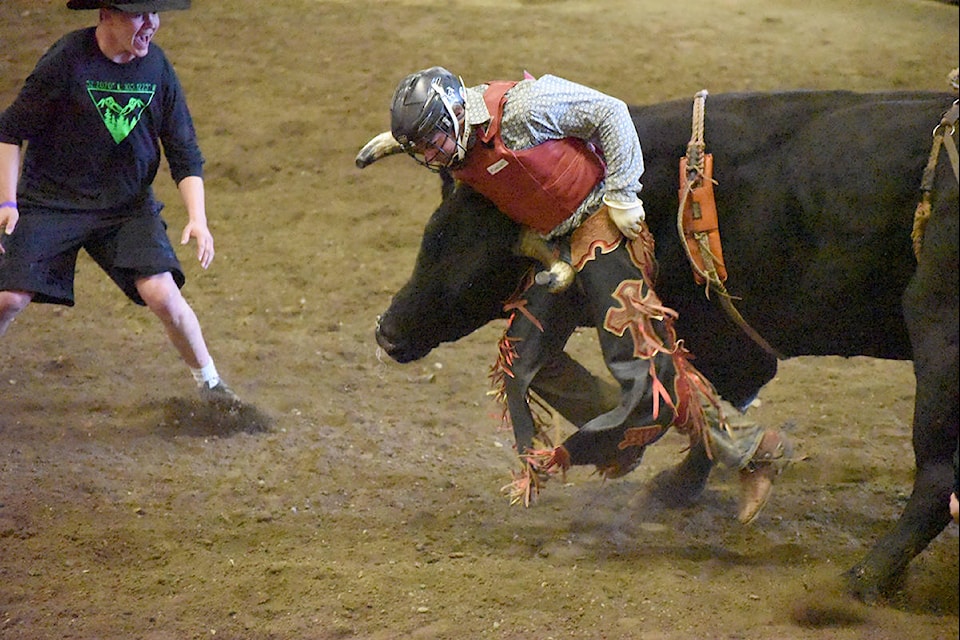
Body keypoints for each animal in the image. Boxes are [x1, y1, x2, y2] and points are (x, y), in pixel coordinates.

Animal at [366, 90, 952, 600]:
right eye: (429, 238)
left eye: (462, 252)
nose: (387, 332)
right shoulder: (734, 344)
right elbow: (707, 410)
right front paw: (677, 486)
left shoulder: (724, 338)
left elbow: (685, 402)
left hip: (938, 338)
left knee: (936, 479)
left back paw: (863, 578)